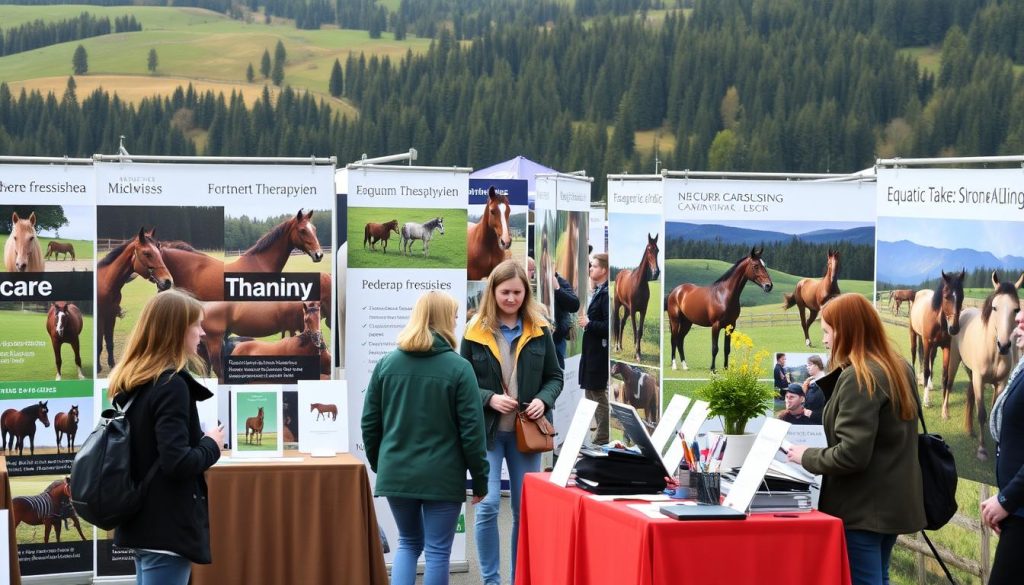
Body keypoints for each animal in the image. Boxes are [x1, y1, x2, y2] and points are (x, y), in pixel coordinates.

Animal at [96, 227, 174, 370]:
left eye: (159, 251)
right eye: (147, 253)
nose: (167, 281)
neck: (105, 283)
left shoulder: (111, 315)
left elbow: (109, 342)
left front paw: (112, 364)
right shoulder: (101, 316)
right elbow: (99, 341)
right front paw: (98, 367)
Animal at [610, 233, 659, 362]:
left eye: (657, 250)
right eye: (649, 249)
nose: (656, 272)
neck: (639, 283)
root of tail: (619, 274)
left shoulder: (643, 311)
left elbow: (639, 331)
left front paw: (639, 352)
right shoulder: (633, 311)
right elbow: (634, 330)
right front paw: (635, 353)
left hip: (626, 309)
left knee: (622, 323)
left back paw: (621, 345)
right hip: (618, 305)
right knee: (617, 322)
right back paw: (616, 346)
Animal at [913, 270, 966, 407]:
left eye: (962, 297)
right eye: (946, 296)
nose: (954, 328)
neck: (938, 321)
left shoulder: (946, 346)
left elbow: (945, 375)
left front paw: (944, 403)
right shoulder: (927, 343)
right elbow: (926, 370)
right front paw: (926, 400)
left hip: (934, 346)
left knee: (931, 359)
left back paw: (929, 384)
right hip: (915, 335)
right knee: (915, 354)